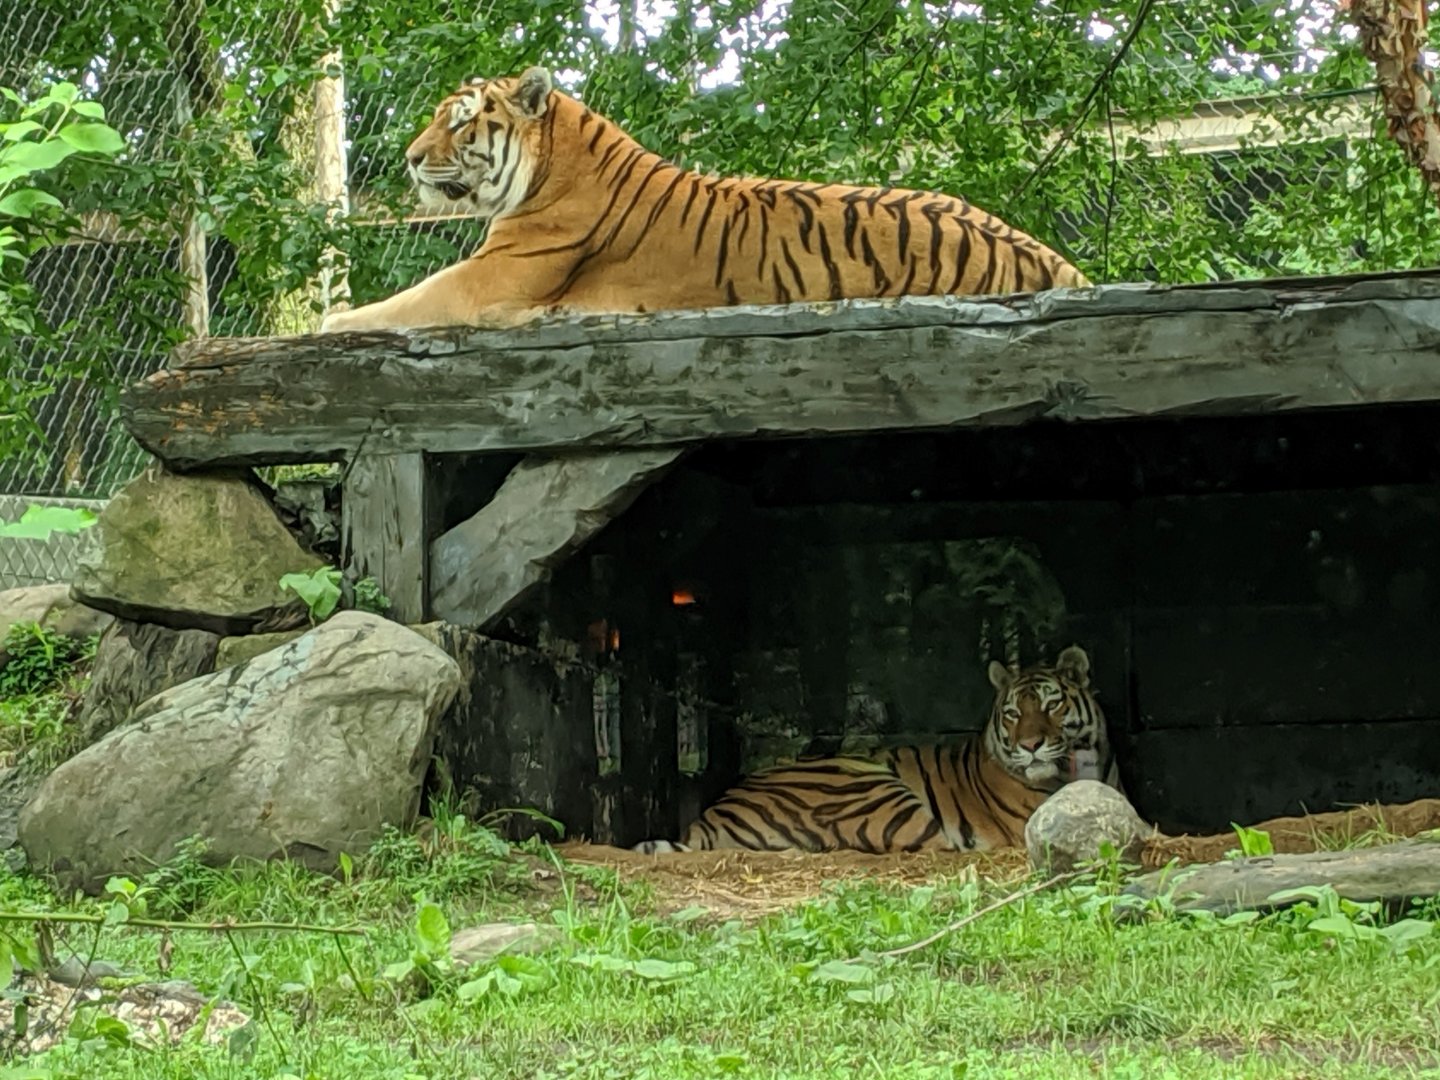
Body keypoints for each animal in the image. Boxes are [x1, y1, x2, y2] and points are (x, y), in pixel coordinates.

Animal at [319, 66, 1090, 334]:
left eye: (459, 121)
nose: (410, 158)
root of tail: (1053, 260)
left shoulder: (484, 282)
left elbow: (393, 307)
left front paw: (326, 324)